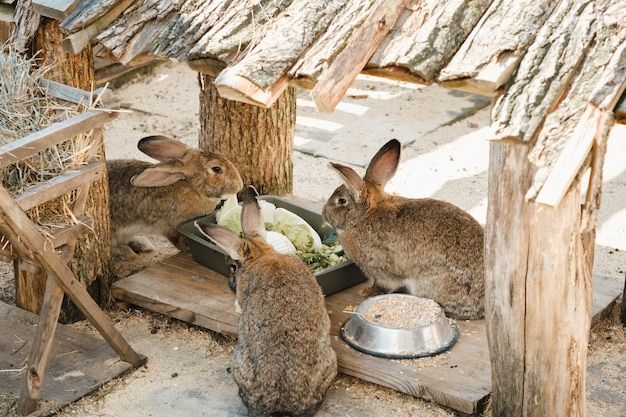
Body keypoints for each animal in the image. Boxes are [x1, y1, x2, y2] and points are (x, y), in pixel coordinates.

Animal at [106, 135, 243, 258]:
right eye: (216, 169)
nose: (239, 185)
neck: (191, 187)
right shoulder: (166, 225)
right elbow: (177, 239)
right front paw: (188, 248)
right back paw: (127, 251)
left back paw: (142, 244)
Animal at [320, 139, 486, 318]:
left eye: (341, 201)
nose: (323, 214)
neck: (364, 216)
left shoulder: (380, 268)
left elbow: (383, 284)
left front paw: (367, 292)